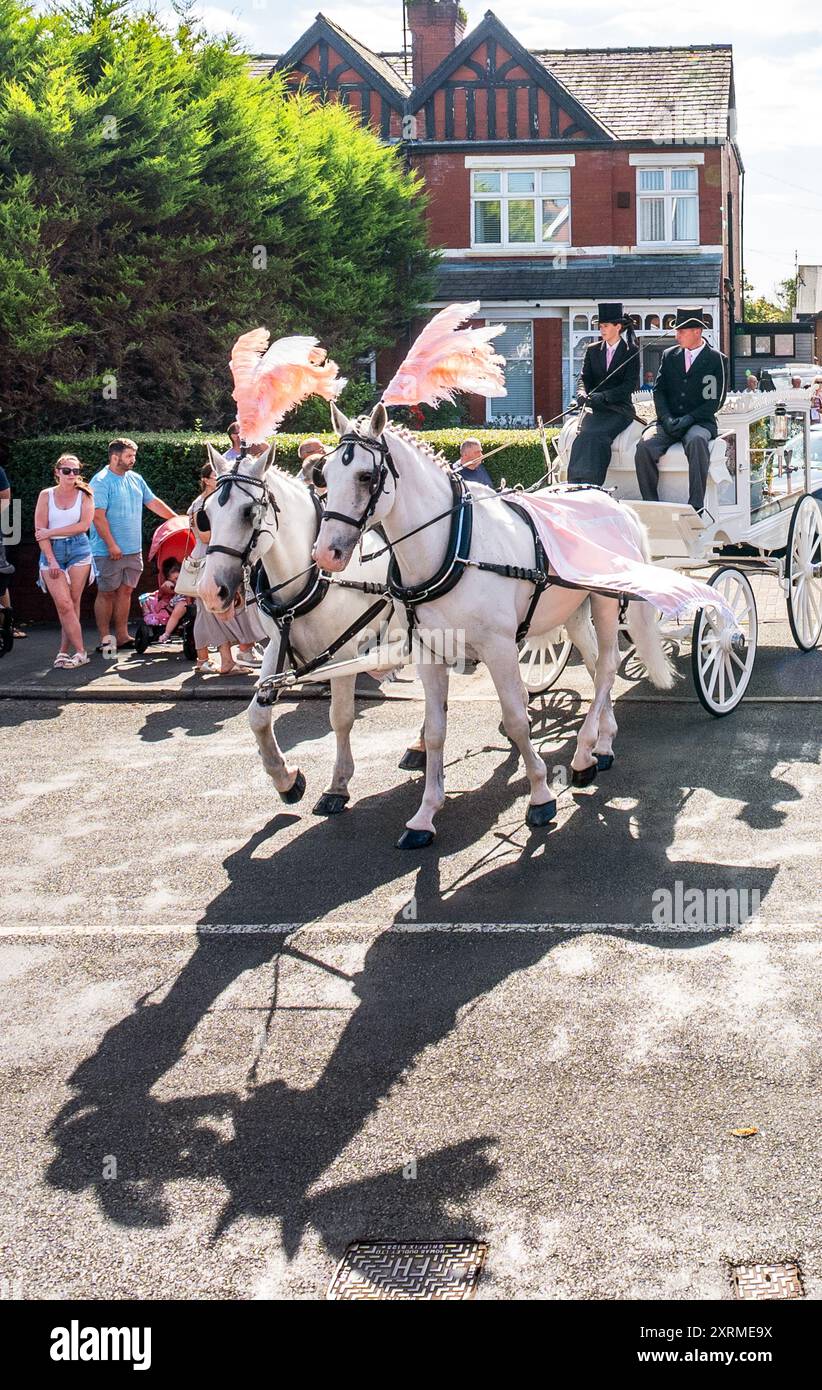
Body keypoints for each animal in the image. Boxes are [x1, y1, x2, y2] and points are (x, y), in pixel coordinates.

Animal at [197, 444, 408, 811]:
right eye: (206, 515)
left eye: (249, 511)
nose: (211, 591)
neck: (311, 577)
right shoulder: (276, 647)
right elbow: (257, 716)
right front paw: (286, 779)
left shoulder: (343, 655)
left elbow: (341, 717)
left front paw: (338, 786)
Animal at [315, 403, 675, 845]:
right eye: (324, 474)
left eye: (366, 476)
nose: (326, 554)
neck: (453, 545)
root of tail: (617, 504)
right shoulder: (428, 652)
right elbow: (436, 730)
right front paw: (425, 814)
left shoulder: (500, 648)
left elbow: (518, 720)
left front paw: (540, 795)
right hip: (572, 608)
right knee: (593, 666)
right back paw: (602, 743)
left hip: (606, 601)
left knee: (607, 667)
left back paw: (583, 752)